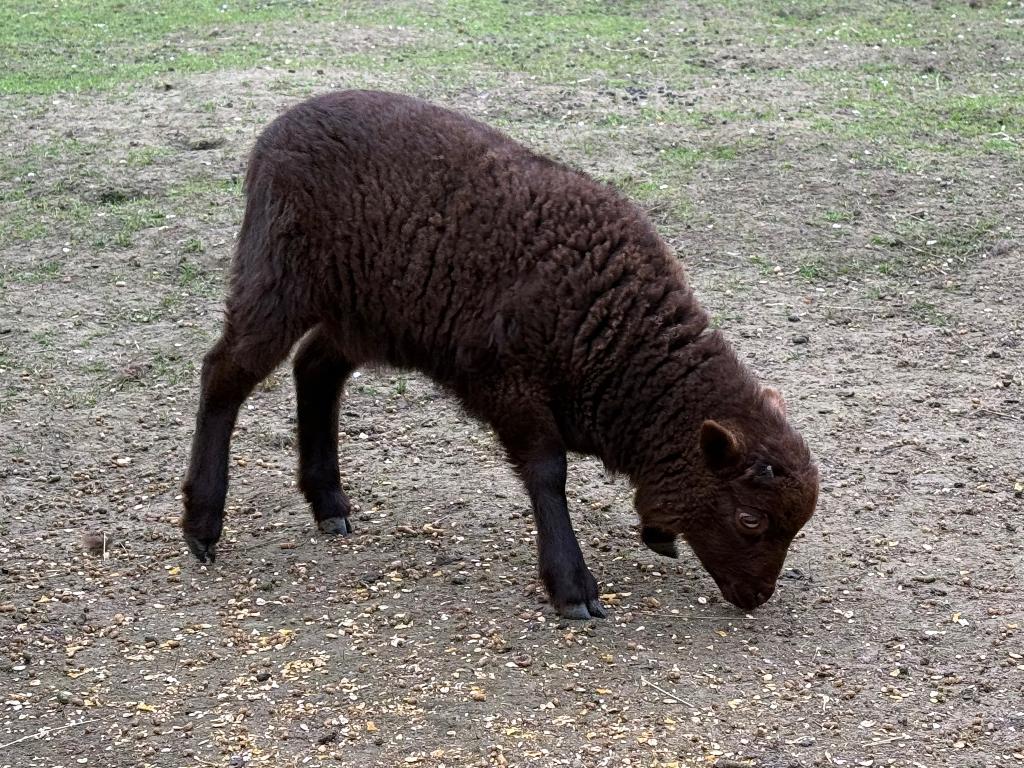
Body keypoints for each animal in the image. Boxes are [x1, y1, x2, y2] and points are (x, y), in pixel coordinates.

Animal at [181, 90, 819, 619]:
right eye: (750, 518)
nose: (756, 598)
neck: (613, 335)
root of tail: (276, 130)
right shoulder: (508, 380)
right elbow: (548, 472)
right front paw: (572, 588)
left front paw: (653, 533)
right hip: (277, 277)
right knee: (225, 373)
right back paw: (202, 524)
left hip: (362, 311)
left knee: (315, 369)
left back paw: (328, 502)